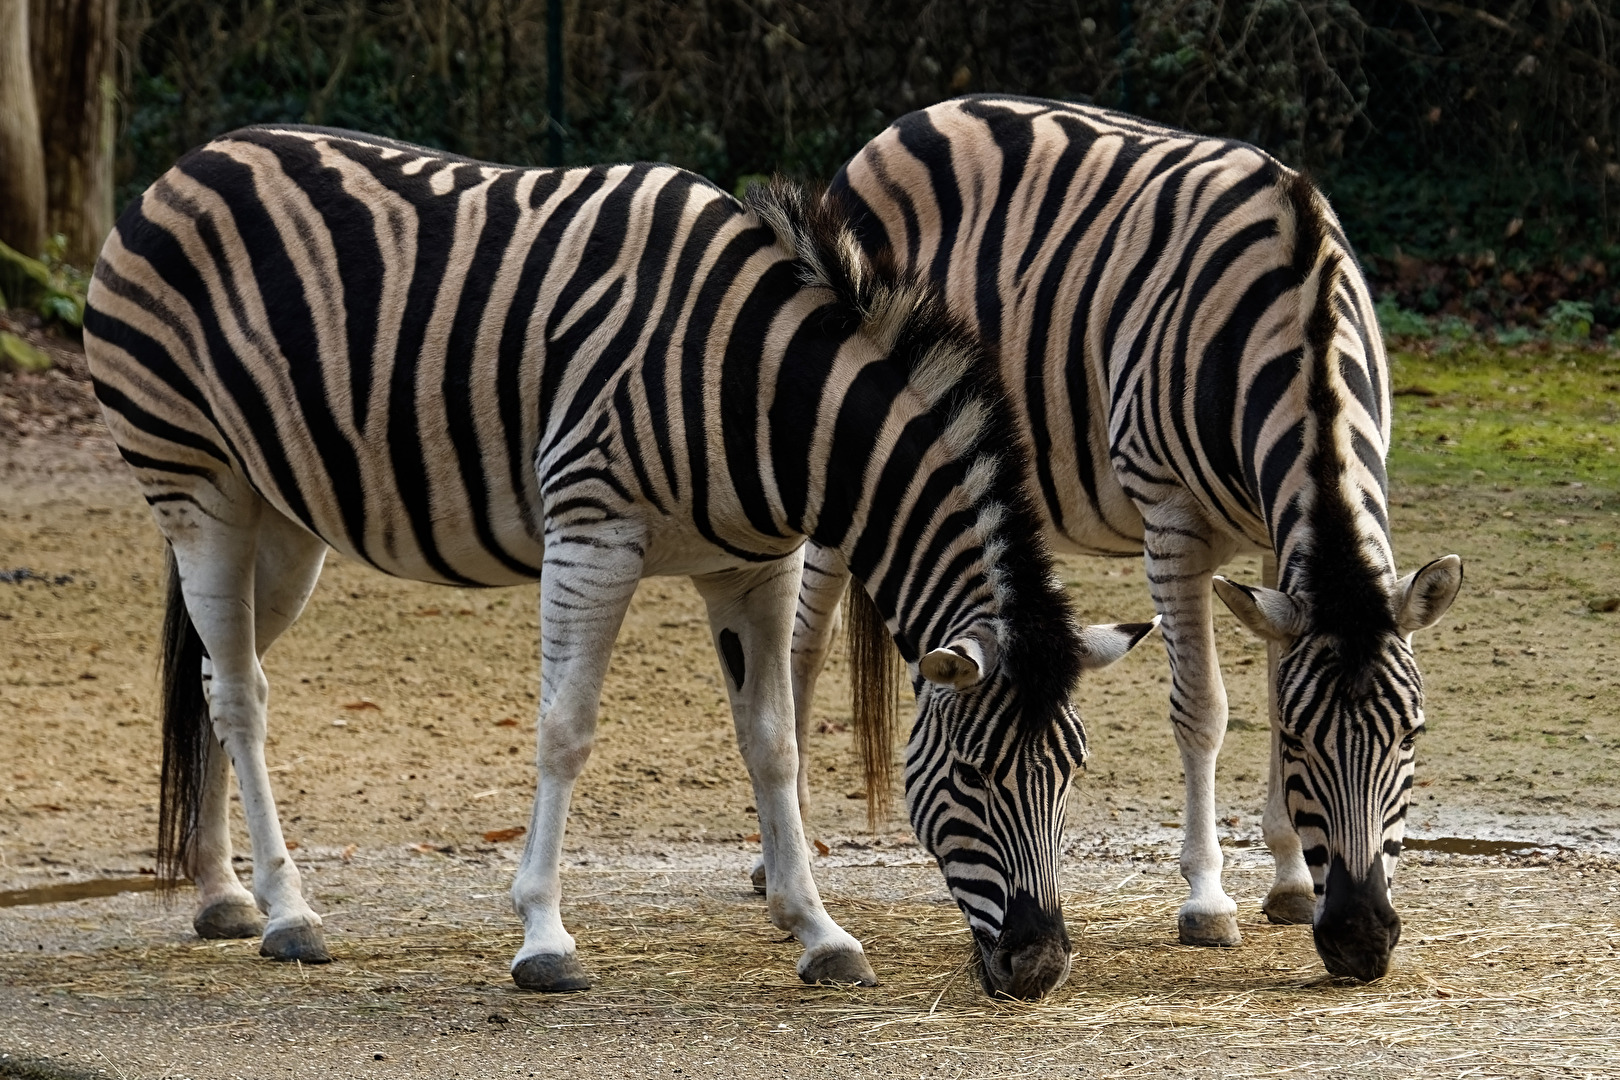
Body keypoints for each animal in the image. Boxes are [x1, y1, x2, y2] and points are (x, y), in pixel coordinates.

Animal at [83, 124, 1147, 998]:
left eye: (1071, 770)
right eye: (970, 774)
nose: (1041, 968)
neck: (762, 390)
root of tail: (192, 160)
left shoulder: (755, 565)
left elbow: (775, 742)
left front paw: (817, 930)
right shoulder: (592, 533)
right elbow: (566, 730)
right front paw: (544, 939)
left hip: (283, 520)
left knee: (215, 673)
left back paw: (225, 895)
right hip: (199, 487)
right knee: (241, 696)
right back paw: (290, 913)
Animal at [786, 95, 1464, 983]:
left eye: (1411, 734)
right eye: (1301, 741)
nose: (1360, 941)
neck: (1297, 312)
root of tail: (908, 122)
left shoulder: (1281, 546)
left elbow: (1272, 677)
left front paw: (1287, 879)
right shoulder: (1170, 518)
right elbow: (1203, 708)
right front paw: (1207, 901)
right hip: (848, 458)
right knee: (804, 645)